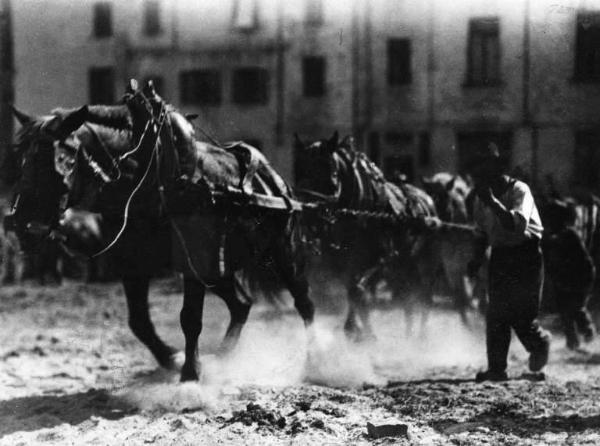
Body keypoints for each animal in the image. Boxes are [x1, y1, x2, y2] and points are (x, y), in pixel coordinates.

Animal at [292, 131, 436, 340]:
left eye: (331, 174)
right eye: (301, 171)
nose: (307, 215)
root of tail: (426, 200)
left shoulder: (380, 261)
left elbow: (357, 291)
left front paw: (355, 330)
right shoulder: (340, 264)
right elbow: (355, 293)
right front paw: (361, 331)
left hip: (422, 261)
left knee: (424, 294)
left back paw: (421, 335)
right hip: (402, 264)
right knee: (407, 296)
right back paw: (409, 334)